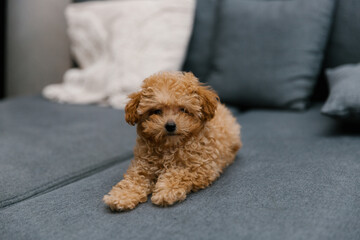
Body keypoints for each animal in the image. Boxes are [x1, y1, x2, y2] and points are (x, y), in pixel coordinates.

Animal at [102, 72, 242, 211]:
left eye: (183, 110)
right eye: (157, 111)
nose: (170, 126)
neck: (170, 146)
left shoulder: (202, 167)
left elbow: (179, 173)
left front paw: (166, 191)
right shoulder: (142, 165)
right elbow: (134, 179)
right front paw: (122, 196)